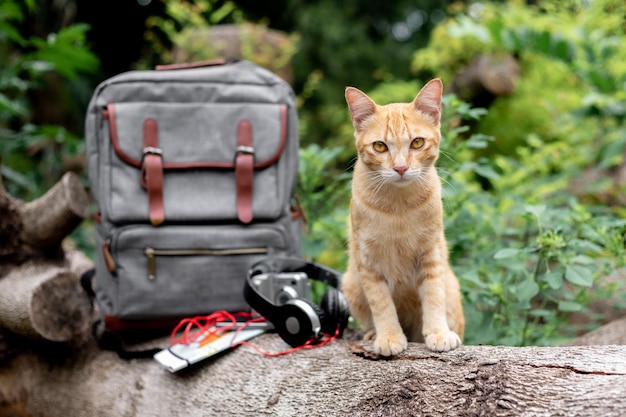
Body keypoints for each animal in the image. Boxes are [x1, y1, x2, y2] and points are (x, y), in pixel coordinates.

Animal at [342, 79, 464, 356]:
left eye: (417, 143)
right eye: (379, 146)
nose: (400, 168)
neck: (398, 209)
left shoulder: (431, 254)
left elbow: (433, 295)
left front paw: (439, 333)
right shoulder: (368, 263)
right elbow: (381, 303)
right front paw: (389, 336)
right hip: (351, 285)